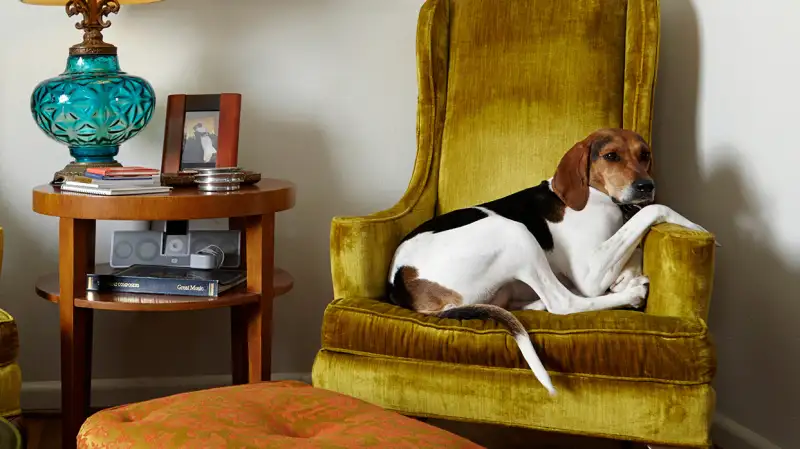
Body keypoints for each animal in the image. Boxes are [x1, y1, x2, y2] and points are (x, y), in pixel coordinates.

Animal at [384, 128, 708, 394]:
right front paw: (696, 227)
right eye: (611, 156)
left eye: (645, 154)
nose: (646, 186)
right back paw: (632, 294)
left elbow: (636, 243)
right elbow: (651, 213)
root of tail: (399, 284)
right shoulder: (590, 273)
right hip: (515, 231)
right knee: (564, 303)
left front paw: (624, 276)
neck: (597, 196)